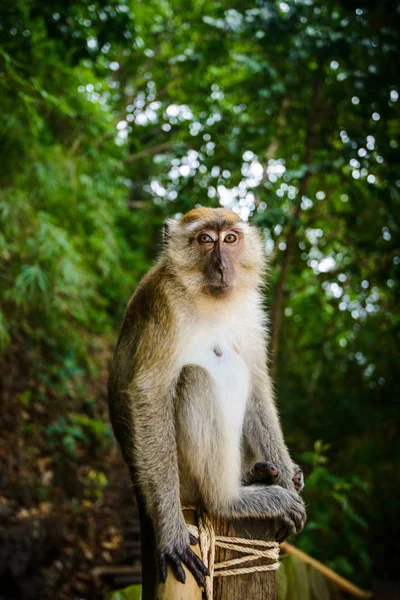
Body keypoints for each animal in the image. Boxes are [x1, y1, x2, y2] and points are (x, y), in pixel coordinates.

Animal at [107, 209, 306, 592]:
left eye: (229, 239)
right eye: (205, 240)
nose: (222, 266)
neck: (209, 299)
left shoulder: (250, 310)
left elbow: (257, 384)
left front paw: (289, 476)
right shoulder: (164, 304)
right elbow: (149, 392)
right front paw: (171, 533)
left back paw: (257, 474)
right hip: (181, 480)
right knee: (194, 379)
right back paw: (228, 501)